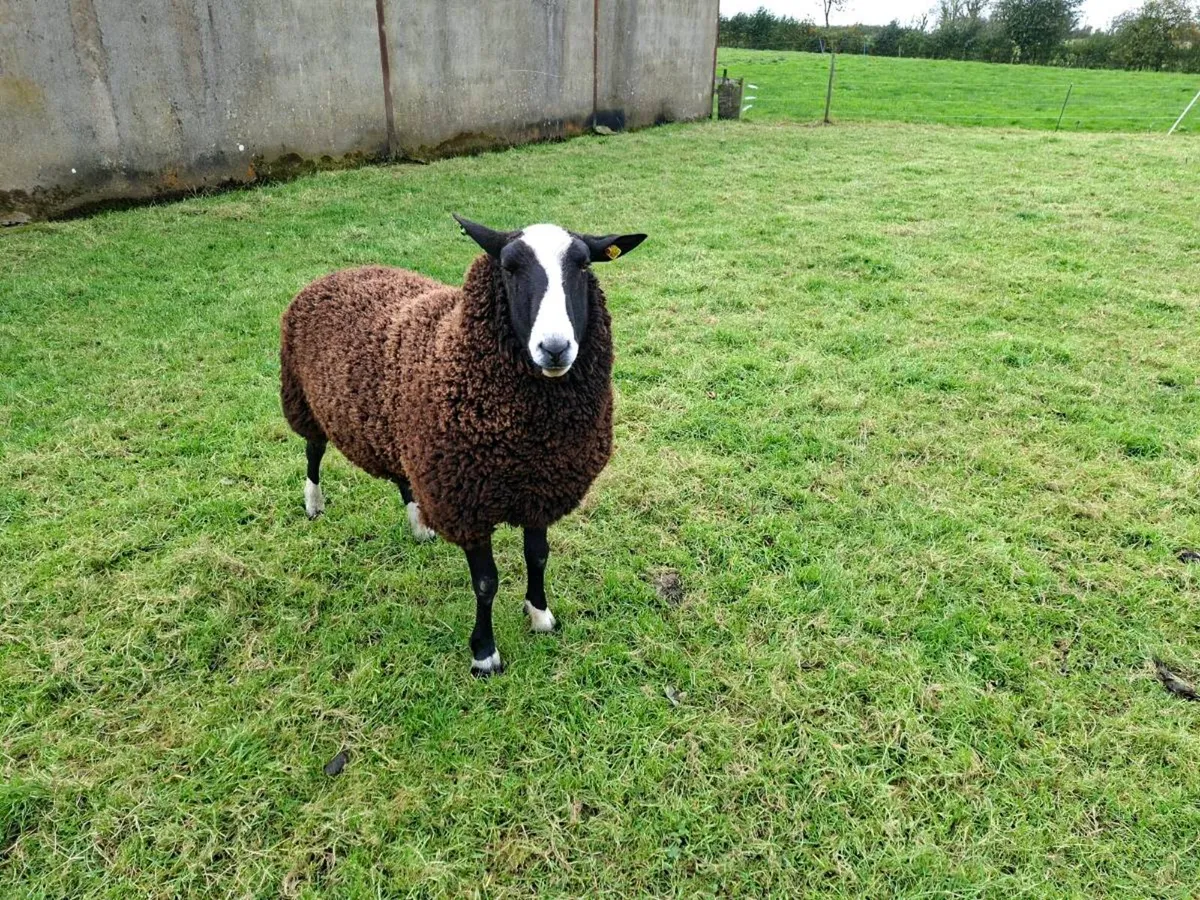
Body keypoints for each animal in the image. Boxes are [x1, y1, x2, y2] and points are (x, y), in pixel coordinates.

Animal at [280, 215, 646, 675]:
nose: (555, 348)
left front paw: (540, 615)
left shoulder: (540, 487)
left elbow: (538, 556)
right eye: (508, 267)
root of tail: (336, 274)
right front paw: (484, 654)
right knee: (313, 452)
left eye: (583, 265)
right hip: (304, 399)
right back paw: (313, 503)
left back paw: (419, 525)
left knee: (403, 477)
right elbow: (486, 582)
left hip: (407, 438)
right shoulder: (465, 500)